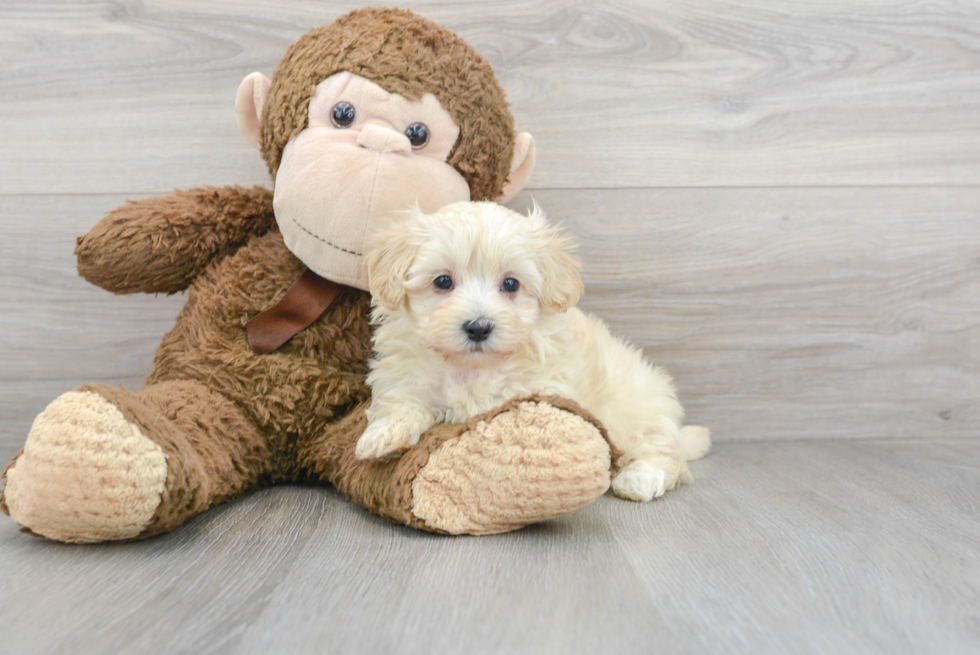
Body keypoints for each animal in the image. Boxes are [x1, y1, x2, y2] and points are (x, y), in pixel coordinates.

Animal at [356, 202, 708, 500]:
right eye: (443, 281)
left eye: (511, 284)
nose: (479, 327)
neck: (473, 368)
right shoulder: (408, 377)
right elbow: (402, 404)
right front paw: (383, 437)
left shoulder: (542, 387)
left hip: (637, 407)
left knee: (663, 451)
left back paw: (639, 479)